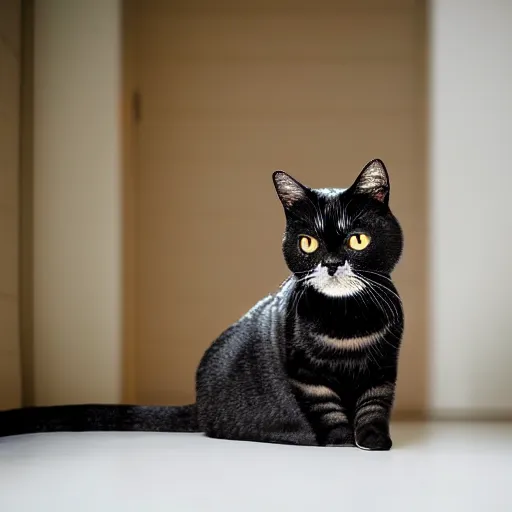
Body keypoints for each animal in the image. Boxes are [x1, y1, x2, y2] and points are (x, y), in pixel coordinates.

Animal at [2, 158, 406, 450]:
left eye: (357, 239)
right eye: (308, 243)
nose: (333, 263)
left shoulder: (384, 367)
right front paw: (341, 443)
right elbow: (329, 410)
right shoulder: (307, 376)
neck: (347, 321)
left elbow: (374, 405)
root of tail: (201, 406)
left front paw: (375, 441)